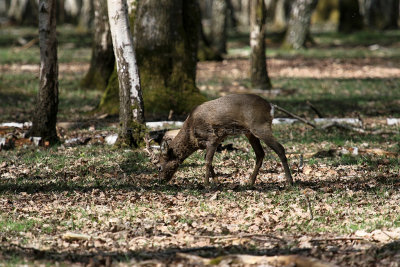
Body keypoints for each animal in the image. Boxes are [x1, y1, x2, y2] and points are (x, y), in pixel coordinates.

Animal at [148, 95, 292, 187]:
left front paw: (206, 184)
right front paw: (217, 181)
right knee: (260, 153)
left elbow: (207, 161)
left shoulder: (212, 137)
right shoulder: (215, 140)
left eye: (159, 167)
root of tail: (271, 106)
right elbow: (209, 160)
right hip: (249, 132)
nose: (160, 181)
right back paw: (250, 182)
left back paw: (290, 181)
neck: (191, 134)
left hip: (260, 126)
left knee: (280, 148)